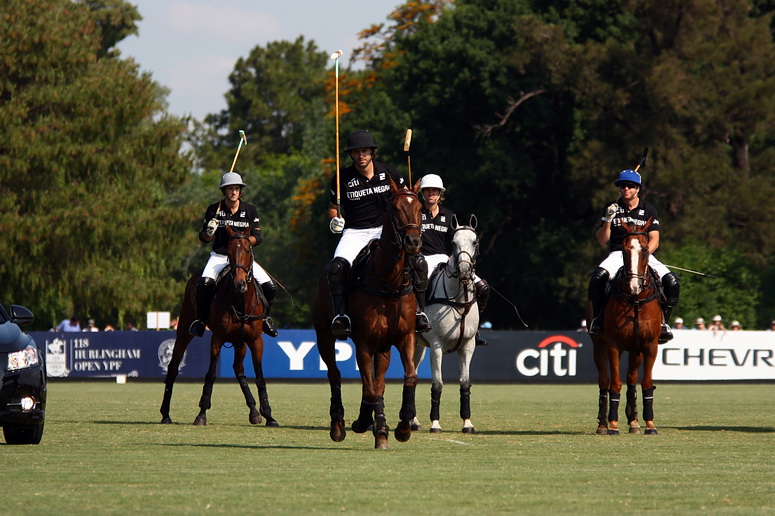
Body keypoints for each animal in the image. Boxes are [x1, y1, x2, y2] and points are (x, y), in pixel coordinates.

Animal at [159, 224, 278, 427]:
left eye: (248, 250)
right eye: (228, 252)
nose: (239, 284)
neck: (240, 302)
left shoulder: (255, 339)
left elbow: (260, 377)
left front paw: (269, 415)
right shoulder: (217, 338)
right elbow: (211, 375)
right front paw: (201, 414)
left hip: (239, 341)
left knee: (239, 370)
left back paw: (254, 412)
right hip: (184, 327)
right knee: (173, 366)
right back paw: (165, 414)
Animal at [312, 178, 422, 449]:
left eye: (420, 208)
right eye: (395, 209)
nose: (413, 242)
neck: (389, 283)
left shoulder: (405, 337)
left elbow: (408, 377)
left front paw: (401, 428)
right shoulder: (363, 341)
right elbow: (370, 388)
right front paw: (368, 425)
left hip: (382, 347)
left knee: (376, 383)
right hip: (324, 334)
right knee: (335, 374)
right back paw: (339, 425)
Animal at [411, 215, 480, 434]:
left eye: (474, 242)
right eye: (454, 242)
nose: (465, 271)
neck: (458, 299)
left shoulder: (468, 345)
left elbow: (465, 383)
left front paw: (467, 423)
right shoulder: (436, 346)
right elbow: (438, 384)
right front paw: (435, 424)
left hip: (417, 346)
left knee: (412, 375)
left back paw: (412, 421)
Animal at [589, 218, 661, 435]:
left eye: (645, 249)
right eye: (623, 249)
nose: (634, 286)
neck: (636, 301)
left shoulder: (650, 345)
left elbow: (646, 382)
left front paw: (649, 424)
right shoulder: (614, 345)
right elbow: (615, 383)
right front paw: (613, 425)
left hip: (636, 349)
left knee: (631, 379)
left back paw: (634, 422)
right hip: (598, 344)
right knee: (604, 380)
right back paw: (603, 424)